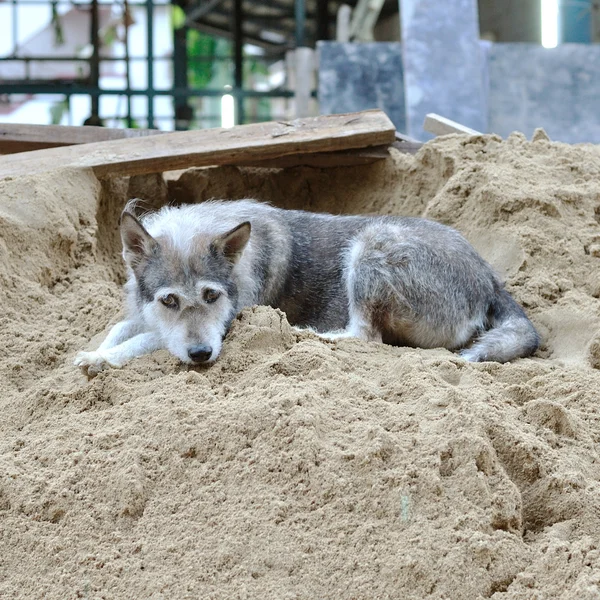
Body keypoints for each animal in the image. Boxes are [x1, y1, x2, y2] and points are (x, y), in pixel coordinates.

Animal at [74, 199, 540, 372]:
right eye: (169, 300)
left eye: (212, 296)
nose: (202, 355)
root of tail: (488, 278)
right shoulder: (148, 314)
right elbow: (122, 328)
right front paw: (94, 350)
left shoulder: (227, 325)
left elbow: (140, 342)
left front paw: (98, 359)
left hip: (370, 247)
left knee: (365, 336)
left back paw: (305, 334)